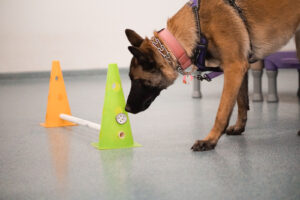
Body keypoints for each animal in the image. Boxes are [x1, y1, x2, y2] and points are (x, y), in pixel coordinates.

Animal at [124, 0, 300, 151]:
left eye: (138, 82)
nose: (126, 108)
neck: (198, 25)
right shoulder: (240, 67)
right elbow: (241, 102)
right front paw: (239, 127)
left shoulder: (234, 67)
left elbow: (222, 111)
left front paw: (210, 140)